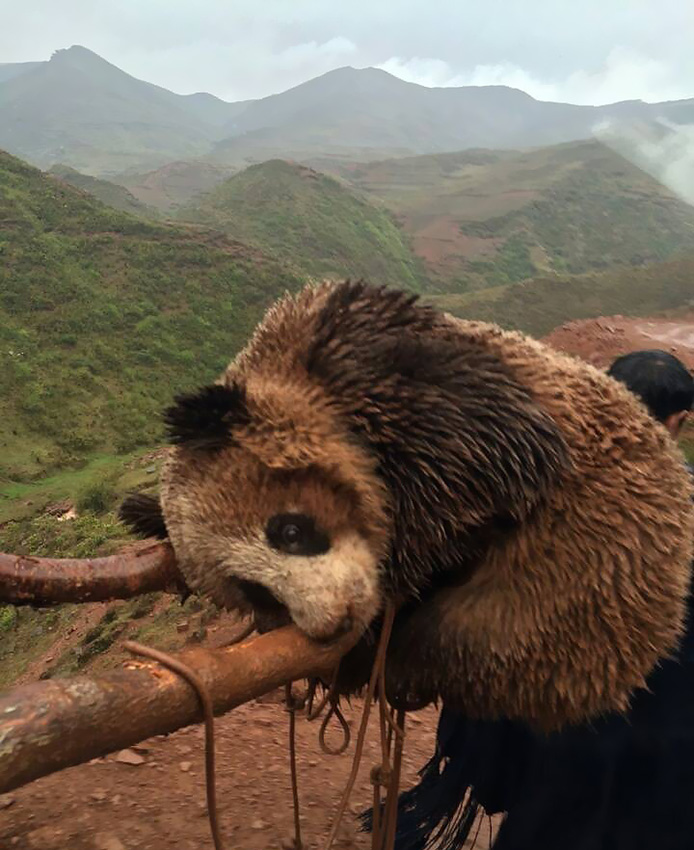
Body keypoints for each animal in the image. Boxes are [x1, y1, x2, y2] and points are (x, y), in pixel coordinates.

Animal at [119, 280, 694, 728]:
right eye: (255, 591)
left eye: (289, 530)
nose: (336, 620)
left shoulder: (405, 375)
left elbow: (503, 455)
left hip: (576, 594)